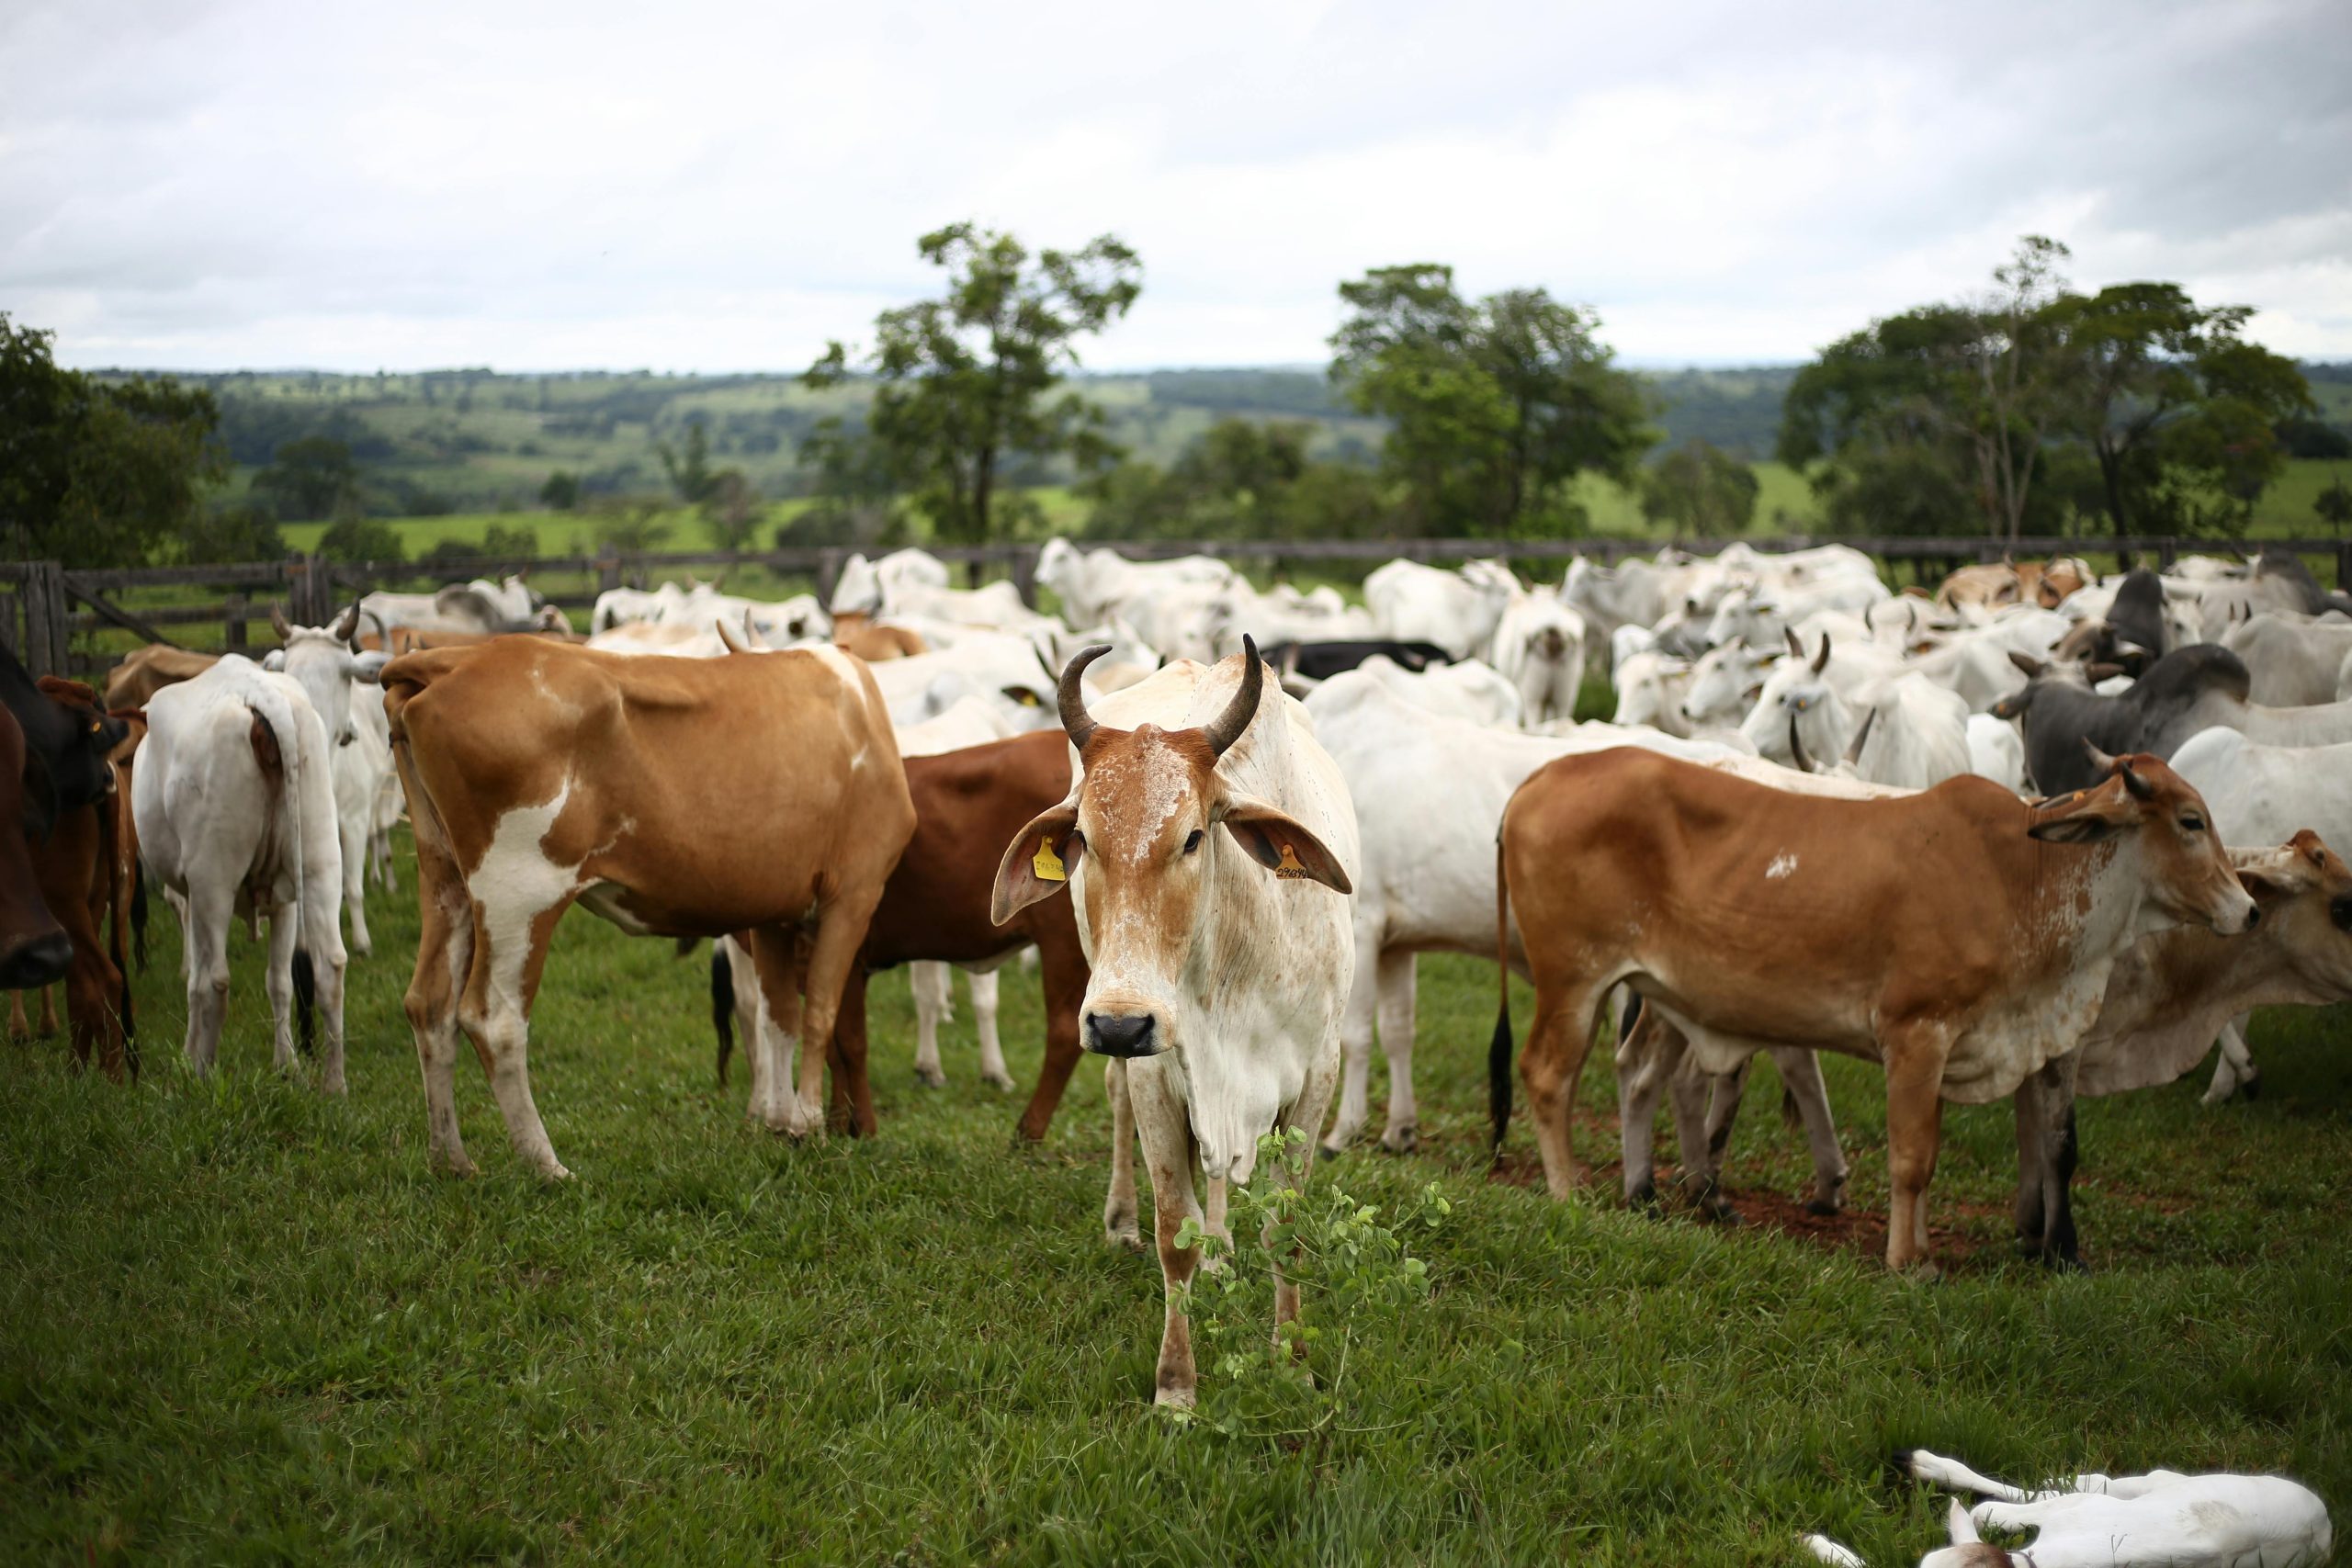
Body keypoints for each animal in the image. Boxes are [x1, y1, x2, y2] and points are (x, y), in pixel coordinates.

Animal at [133, 662, 347, 1090]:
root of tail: (262, 694)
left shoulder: (194, 897)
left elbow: (195, 981)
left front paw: (189, 1058)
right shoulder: (285, 903)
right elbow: (280, 981)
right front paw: (287, 1064)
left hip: (213, 880)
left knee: (215, 980)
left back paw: (204, 1073)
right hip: (319, 862)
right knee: (330, 966)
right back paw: (334, 1085)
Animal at [380, 639, 912, 1175]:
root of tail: (460, 656)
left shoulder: (775, 911)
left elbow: (778, 1016)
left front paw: (781, 1124)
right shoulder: (855, 891)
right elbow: (820, 1013)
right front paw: (809, 1125)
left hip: (444, 876)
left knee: (430, 1004)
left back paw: (452, 1161)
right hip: (518, 891)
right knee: (495, 1020)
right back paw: (548, 1166)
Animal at [710, 724, 1086, 1142]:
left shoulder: (841, 952)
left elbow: (850, 1043)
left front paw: (863, 1127)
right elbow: (833, 1046)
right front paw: (839, 1122)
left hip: (1064, 942)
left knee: (1065, 1032)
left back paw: (1028, 1130)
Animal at [992, 639, 1363, 1410]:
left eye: (1193, 836)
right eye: (1082, 838)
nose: (1119, 1024)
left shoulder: (1317, 1074)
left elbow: (1286, 1227)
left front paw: (1292, 1360)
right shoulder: (1156, 1073)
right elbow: (1175, 1234)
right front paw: (1176, 1388)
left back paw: (1223, 1252)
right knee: (1119, 1110)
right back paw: (1121, 1220)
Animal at [1496, 747, 2248, 1279]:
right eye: (2191, 821)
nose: (2248, 908)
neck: (2022, 877)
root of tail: (1542, 777)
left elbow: (1951, 1155)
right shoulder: (1916, 1033)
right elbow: (1911, 1157)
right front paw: (1906, 1262)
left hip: (1636, 989)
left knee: (1622, 1076)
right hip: (1573, 979)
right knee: (1547, 1075)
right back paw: (1567, 1194)